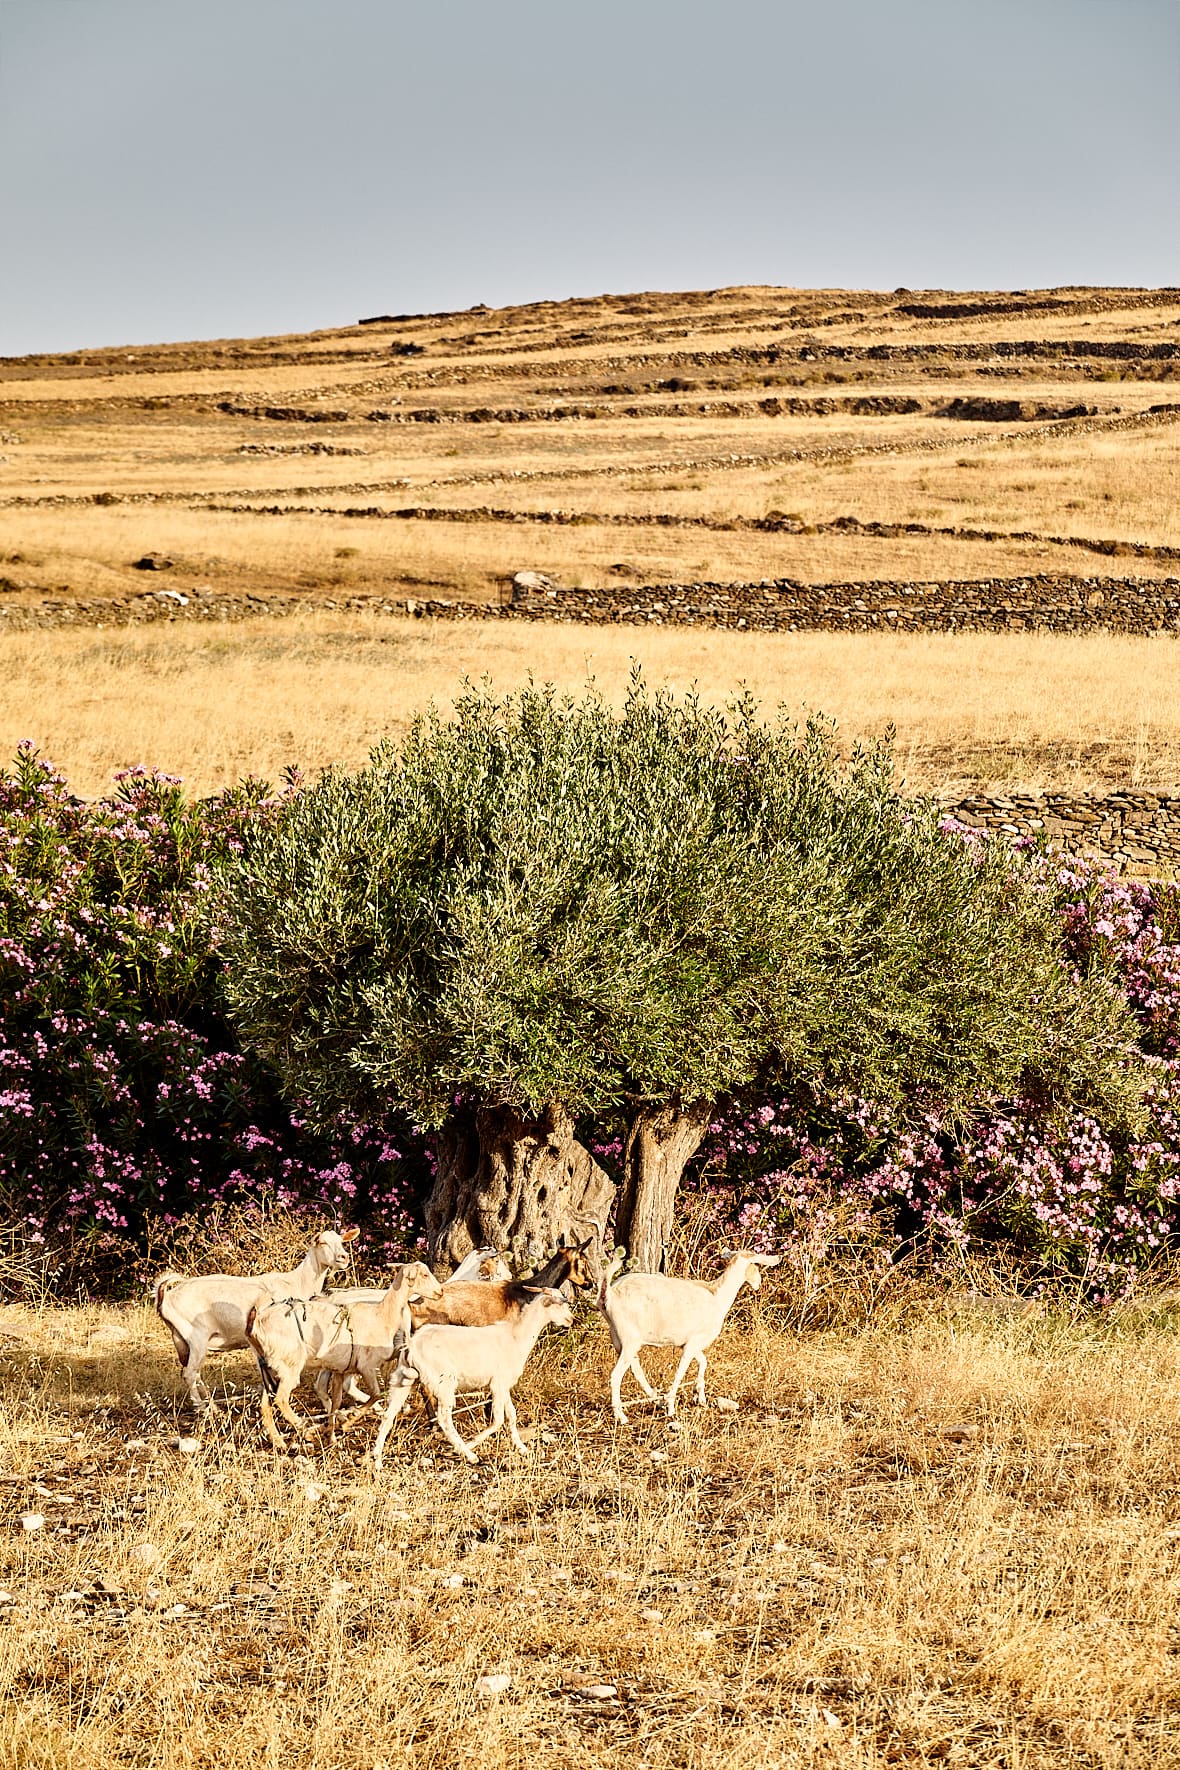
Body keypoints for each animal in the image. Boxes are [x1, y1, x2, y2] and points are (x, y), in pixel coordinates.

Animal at [156, 1231, 360, 1408]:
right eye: (323, 1242)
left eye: (342, 1241)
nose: (343, 1257)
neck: (298, 1282)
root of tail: (167, 1297)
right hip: (197, 1336)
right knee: (190, 1373)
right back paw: (205, 1409)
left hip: (182, 1340)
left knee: (194, 1372)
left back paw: (210, 1404)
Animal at [245, 1260, 442, 1451]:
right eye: (425, 1275)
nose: (439, 1292)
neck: (382, 1316)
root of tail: (256, 1325)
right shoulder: (367, 1366)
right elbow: (376, 1394)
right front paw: (348, 1421)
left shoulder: (341, 1370)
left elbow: (337, 1401)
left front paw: (332, 1435)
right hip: (289, 1366)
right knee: (281, 1399)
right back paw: (306, 1431)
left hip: (270, 1369)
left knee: (265, 1405)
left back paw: (279, 1441)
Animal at [371, 1288, 569, 1465]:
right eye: (559, 1303)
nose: (570, 1320)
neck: (516, 1336)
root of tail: (412, 1344)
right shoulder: (497, 1384)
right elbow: (498, 1420)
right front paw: (473, 1442)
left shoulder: (504, 1385)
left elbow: (511, 1415)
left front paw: (521, 1447)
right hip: (444, 1382)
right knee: (444, 1419)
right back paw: (469, 1454)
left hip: (402, 1379)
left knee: (388, 1415)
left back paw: (377, 1459)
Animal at [601, 1246, 785, 1423]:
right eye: (755, 1264)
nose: (758, 1283)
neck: (717, 1296)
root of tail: (608, 1295)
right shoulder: (692, 1343)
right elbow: (680, 1373)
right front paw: (671, 1407)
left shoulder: (691, 1342)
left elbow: (703, 1362)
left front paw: (700, 1397)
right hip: (629, 1339)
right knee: (616, 1375)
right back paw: (621, 1416)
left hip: (619, 1339)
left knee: (636, 1370)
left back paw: (656, 1400)